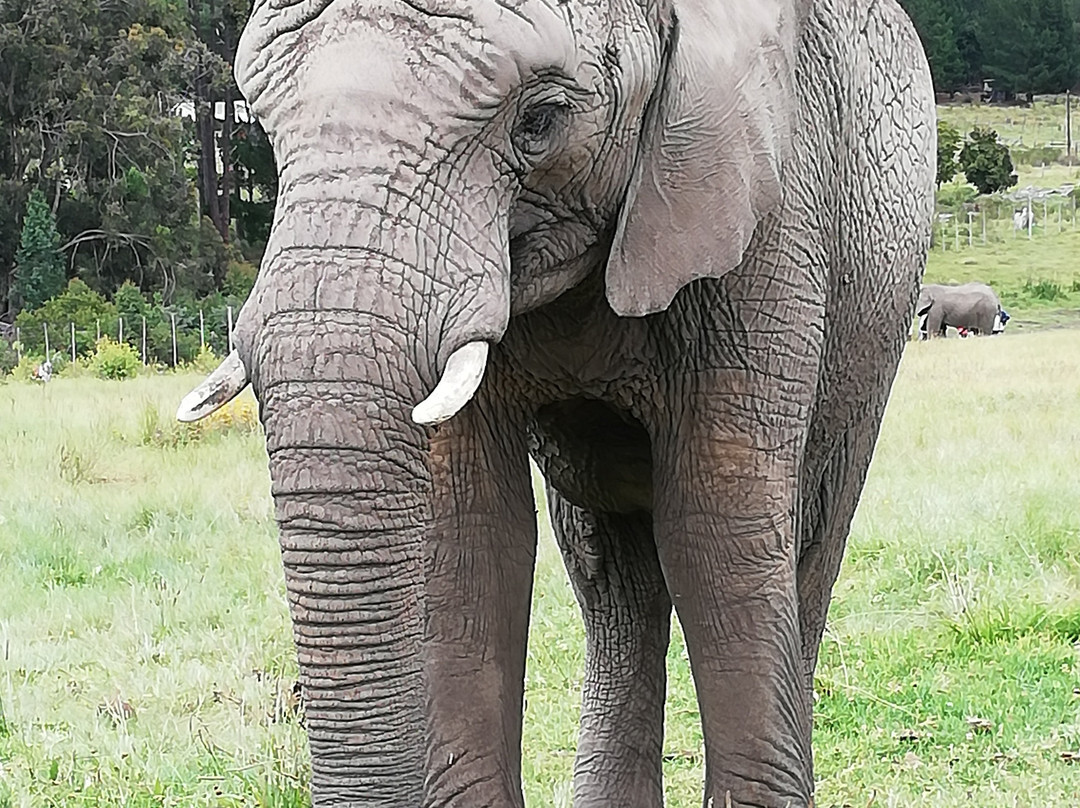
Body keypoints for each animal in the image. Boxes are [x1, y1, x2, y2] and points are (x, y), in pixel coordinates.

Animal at [176, 0, 935, 805]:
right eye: (263, 126)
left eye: (538, 121)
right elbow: (470, 537)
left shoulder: (767, 211)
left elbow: (715, 525)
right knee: (613, 581)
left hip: (875, 332)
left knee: (806, 544)